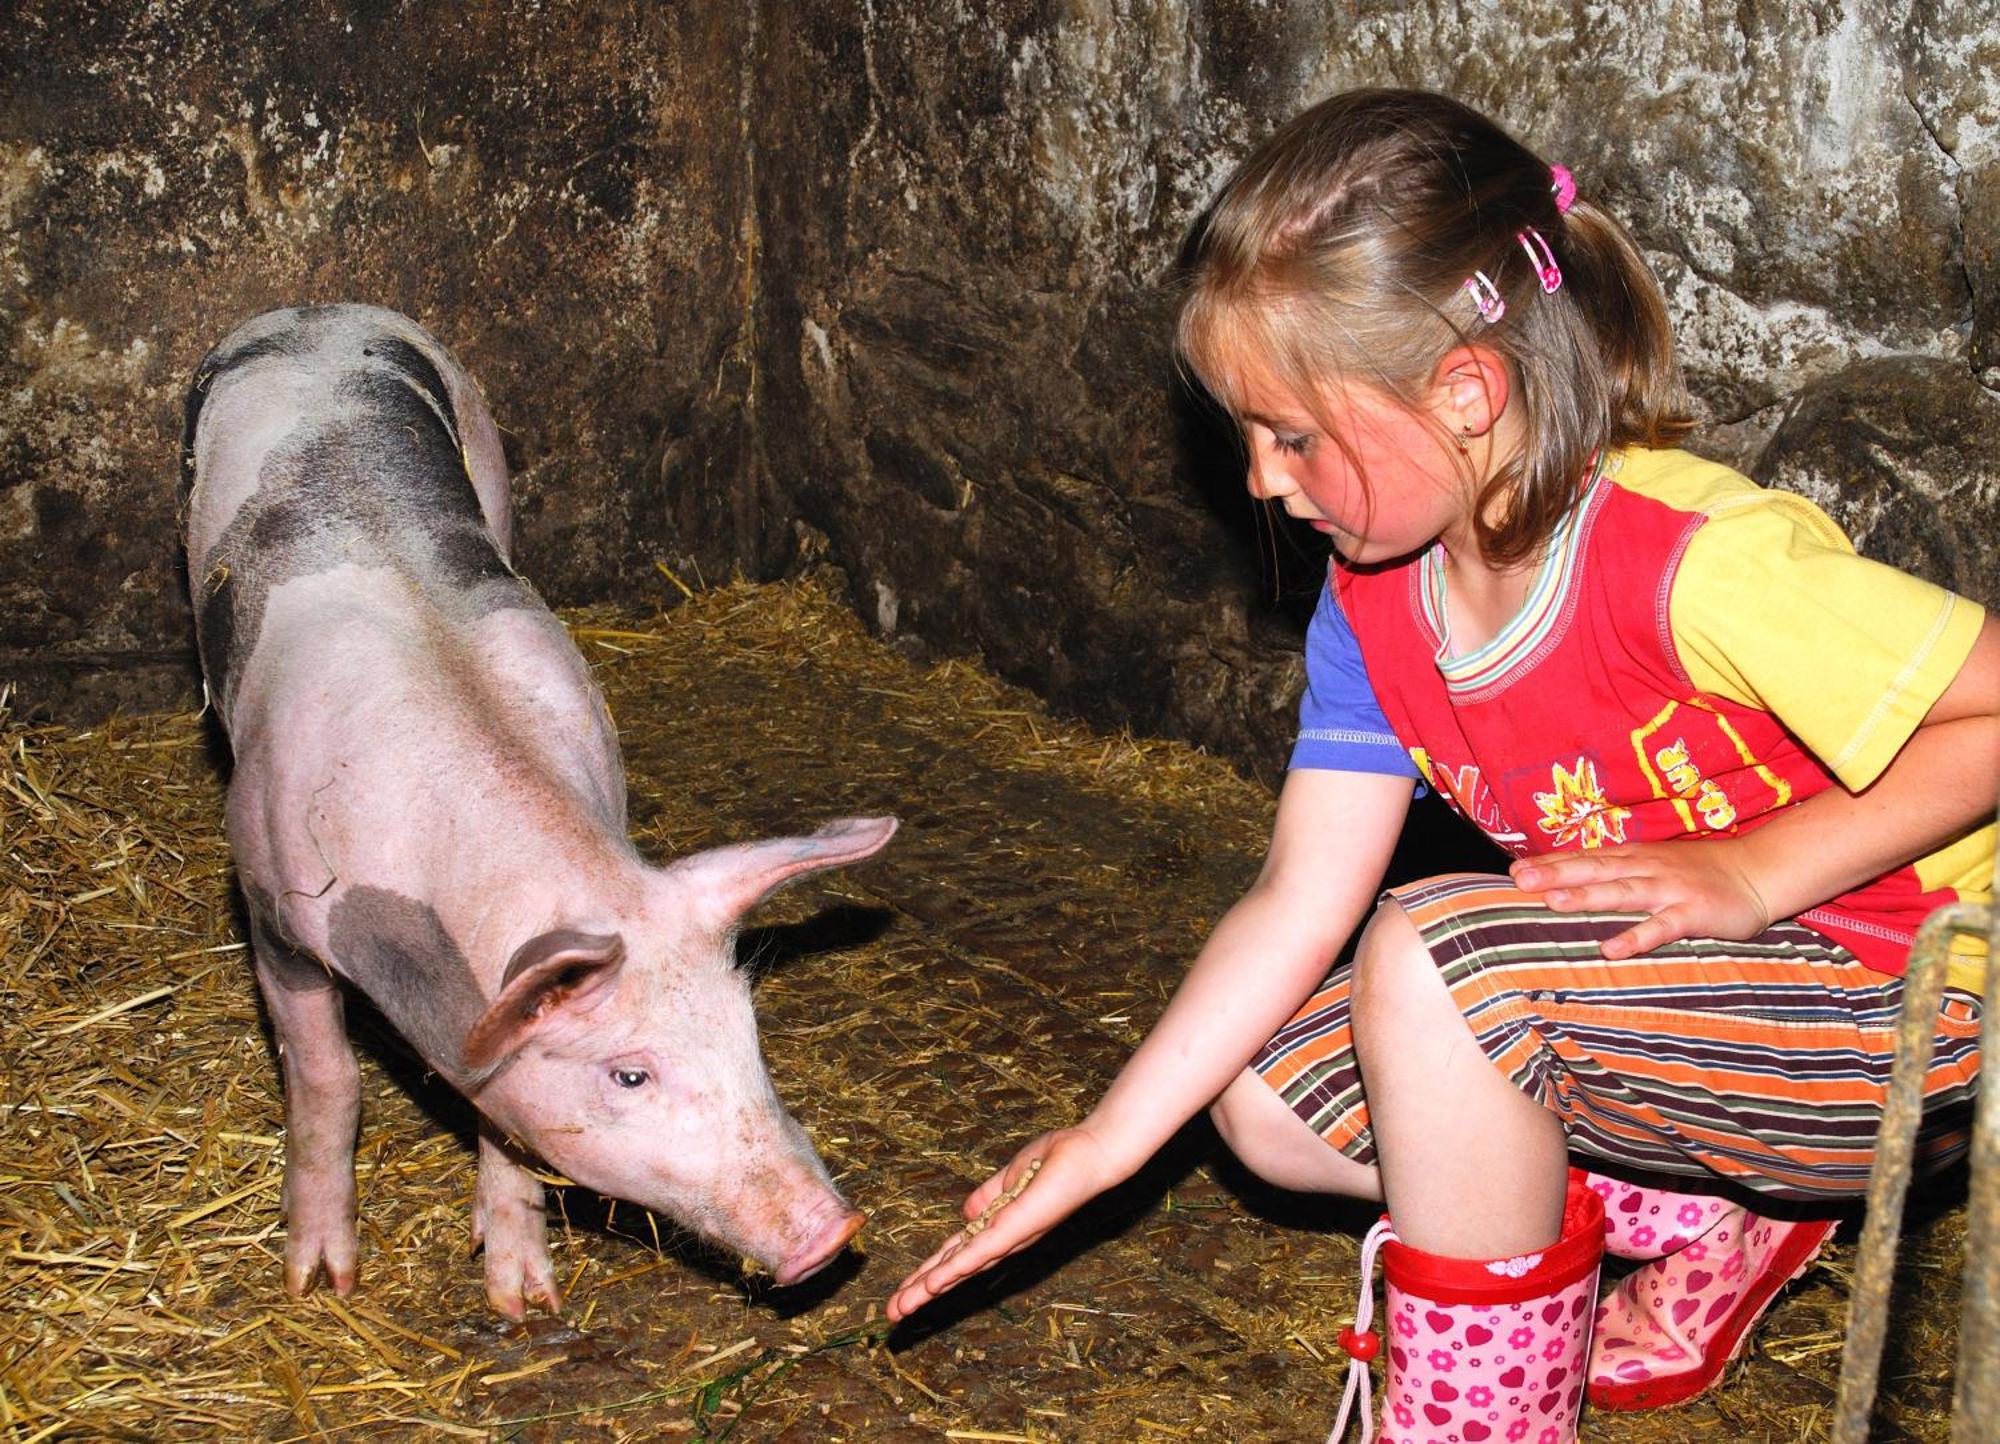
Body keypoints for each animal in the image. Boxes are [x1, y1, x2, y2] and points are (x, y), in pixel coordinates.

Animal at [184, 304, 896, 1320]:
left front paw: (524, 1303)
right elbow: (328, 1078)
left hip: (487, 448)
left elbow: (504, 1119)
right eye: (629, 1072)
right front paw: (320, 1283)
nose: (836, 1229)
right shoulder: (270, 902)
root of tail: (317, 311)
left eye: (749, 1035)